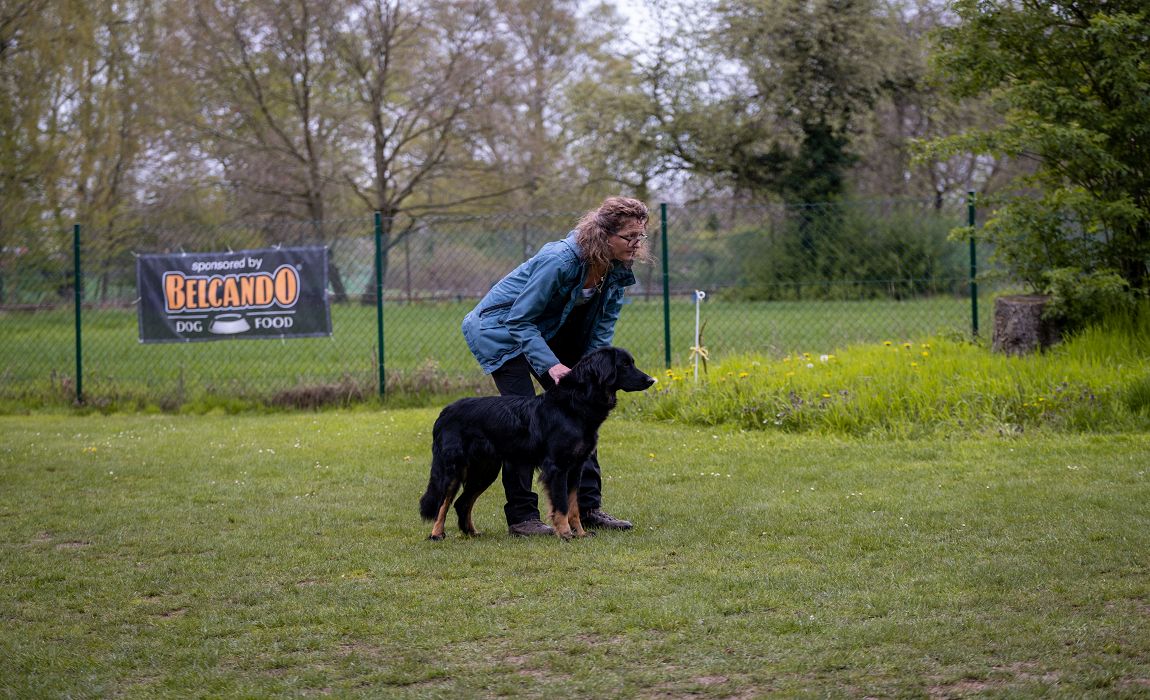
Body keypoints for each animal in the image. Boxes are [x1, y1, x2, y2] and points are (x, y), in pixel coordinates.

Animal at [420, 347, 657, 537]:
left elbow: (574, 506)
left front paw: (580, 534)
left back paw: (471, 532)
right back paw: (436, 534)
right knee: (443, 502)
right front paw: (565, 534)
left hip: (485, 470)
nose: (651, 380)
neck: (574, 404)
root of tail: (444, 413)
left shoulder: (576, 468)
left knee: (462, 502)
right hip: (453, 467)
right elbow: (561, 505)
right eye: (624, 364)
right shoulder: (557, 468)